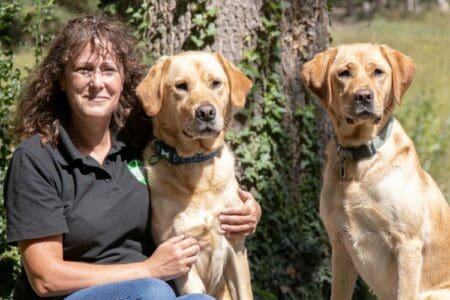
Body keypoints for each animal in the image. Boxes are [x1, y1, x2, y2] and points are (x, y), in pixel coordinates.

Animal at [300, 42, 450, 300]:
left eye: (378, 72)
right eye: (344, 73)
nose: (363, 96)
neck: (360, 159)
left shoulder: (408, 244)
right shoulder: (340, 245)